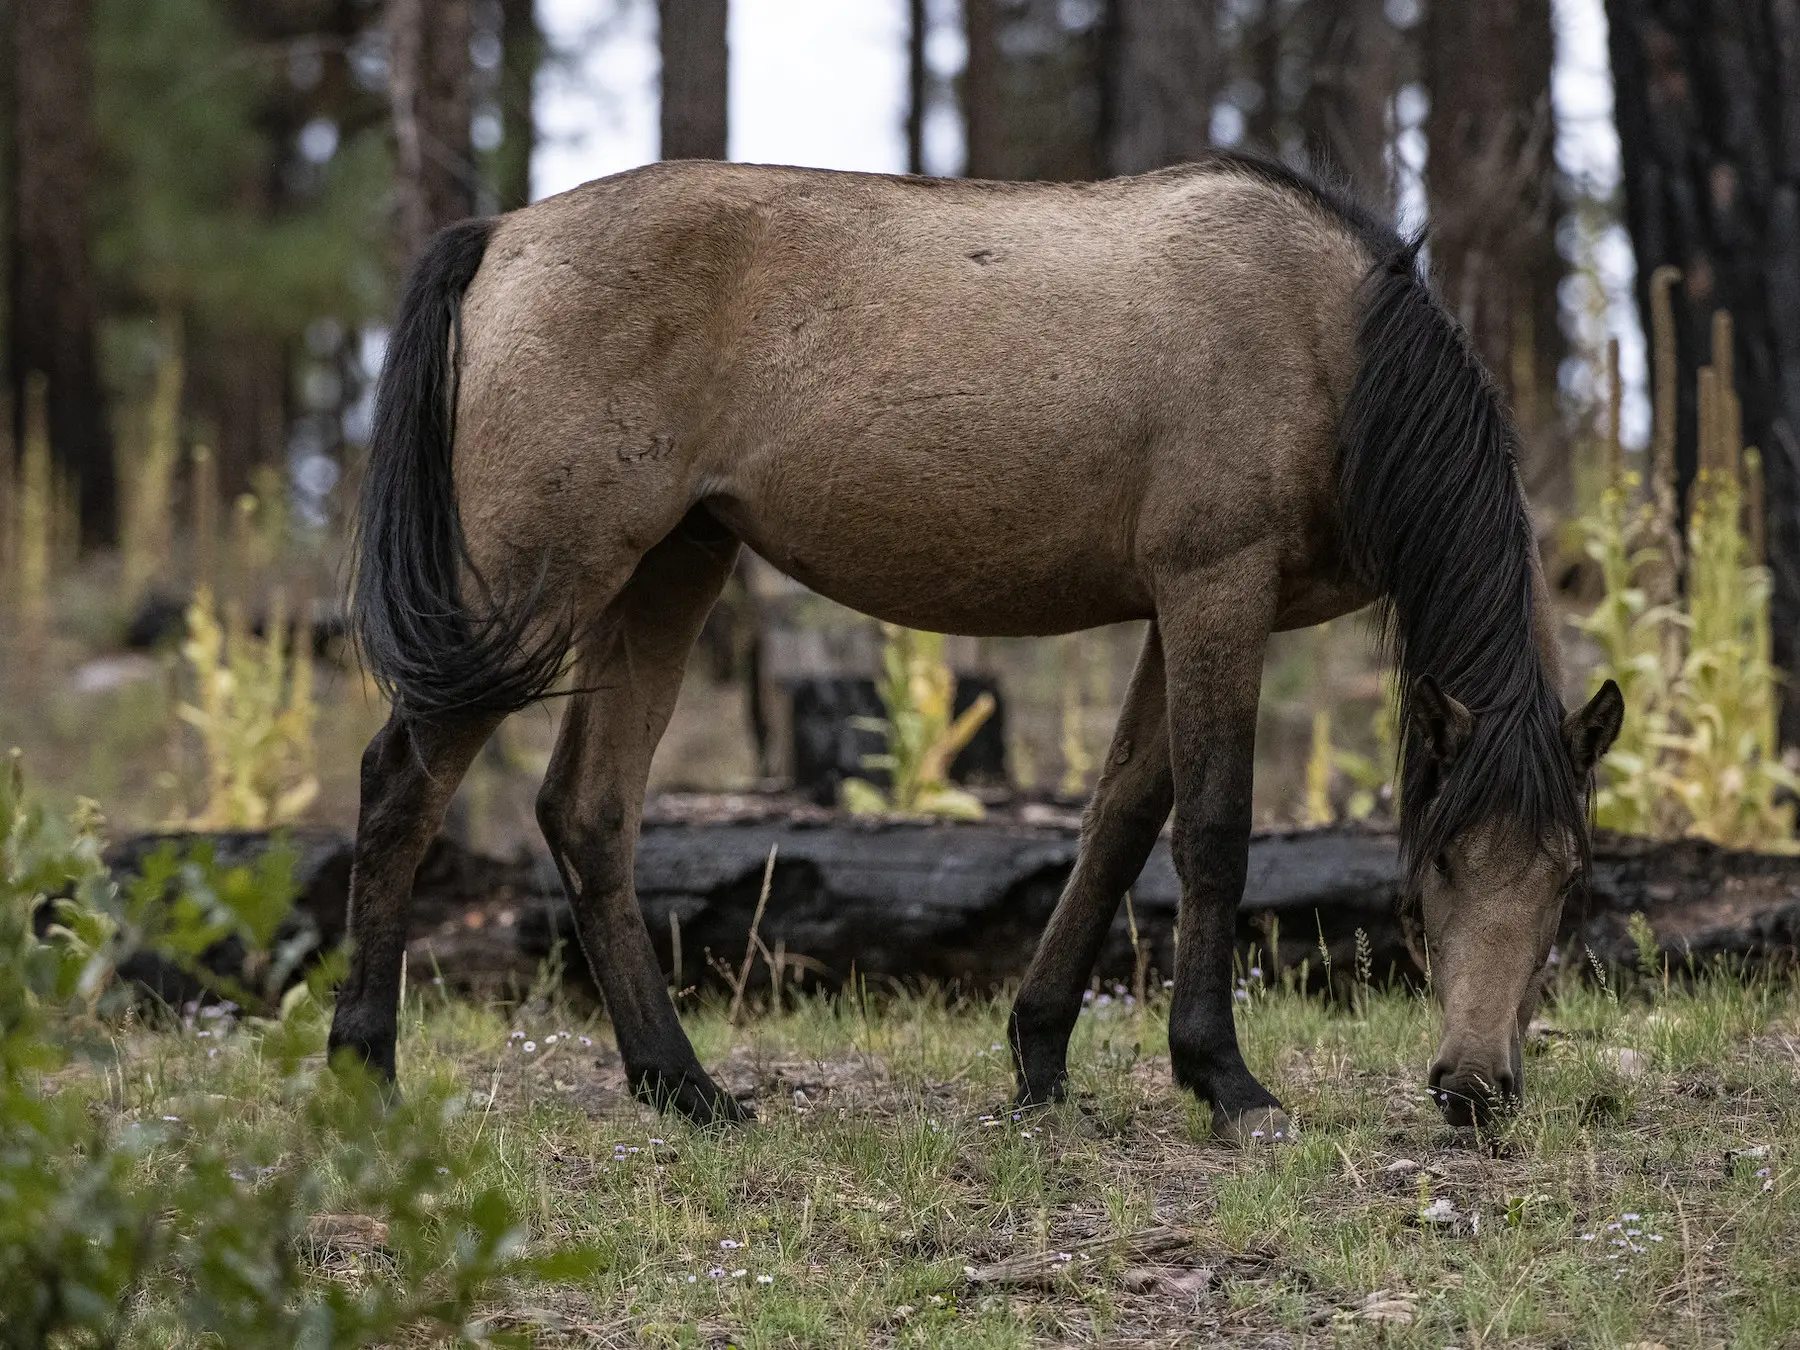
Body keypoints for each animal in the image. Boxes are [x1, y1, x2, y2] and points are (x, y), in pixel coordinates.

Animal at [327, 150, 1634, 1144]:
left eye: (1571, 880)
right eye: (1437, 865)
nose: (1475, 1089)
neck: (1332, 346)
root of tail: (500, 236)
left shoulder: (1180, 609)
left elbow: (1120, 817)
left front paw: (1041, 1055)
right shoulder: (1217, 588)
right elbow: (1212, 830)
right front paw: (1226, 1081)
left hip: (667, 572)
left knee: (588, 812)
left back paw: (684, 1087)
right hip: (533, 585)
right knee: (402, 785)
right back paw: (364, 1069)